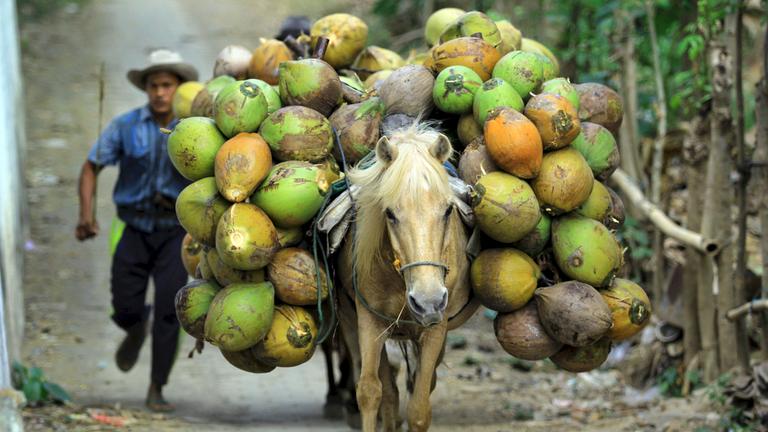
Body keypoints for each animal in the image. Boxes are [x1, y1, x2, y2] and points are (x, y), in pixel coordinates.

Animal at [336, 123, 479, 431]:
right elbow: (371, 392)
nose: (427, 302)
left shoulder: (436, 328)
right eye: (389, 213)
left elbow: (419, 407)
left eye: (448, 210)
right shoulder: (370, 321)